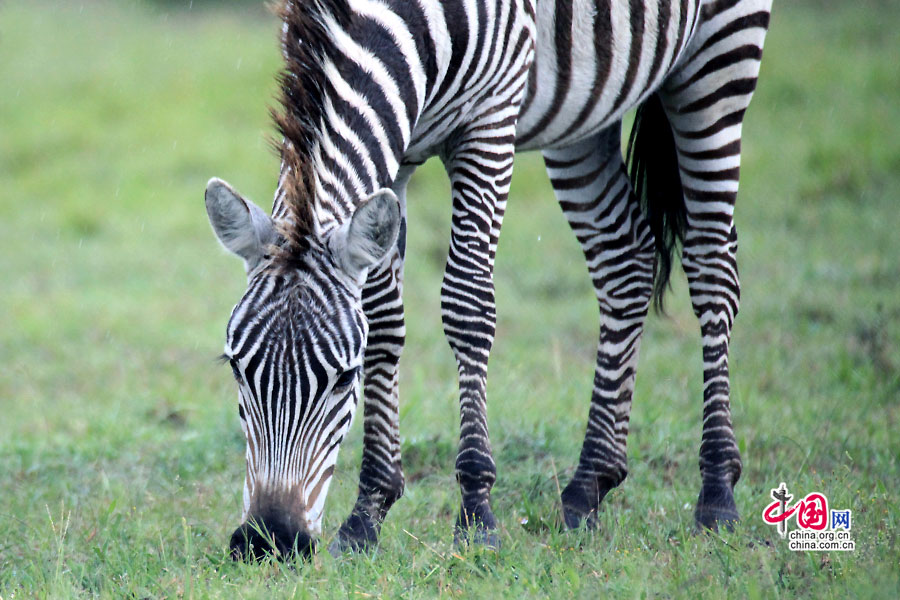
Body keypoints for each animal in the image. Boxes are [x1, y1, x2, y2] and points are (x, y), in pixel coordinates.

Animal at [206, 1, 772, 564]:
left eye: (345, 378)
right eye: (236, 367)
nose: (270, 540)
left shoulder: (491, 118)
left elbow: (467, 305)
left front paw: (476, 515)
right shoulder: (399, 144)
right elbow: (384, 321)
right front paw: (368, 515)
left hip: (720, 57)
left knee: (711, 266)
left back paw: (717, 494)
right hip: (588, 107)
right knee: (624, 260)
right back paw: (587, 488)